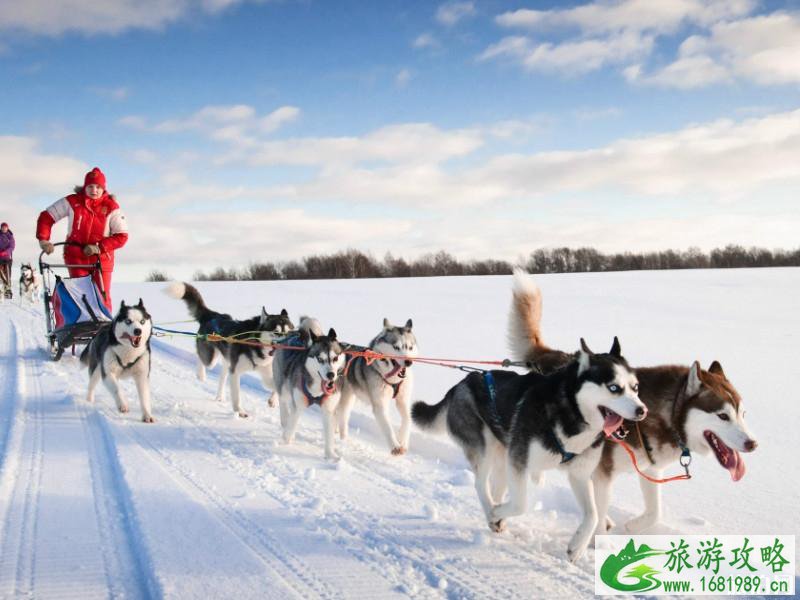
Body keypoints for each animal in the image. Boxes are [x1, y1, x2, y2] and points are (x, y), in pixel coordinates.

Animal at [166, 282, 294, 418]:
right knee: (201, 358)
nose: (289, 344)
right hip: (211, 359)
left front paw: (273, 400)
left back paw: (219, 396)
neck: (255, 345)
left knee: (222, 376)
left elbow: (277, 385)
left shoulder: (265, 371)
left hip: (227, 361)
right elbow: (236, 395)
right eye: (276, 332)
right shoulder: (235, 371)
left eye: (289, 332)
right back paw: (201, 374)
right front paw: (240, 411)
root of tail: (212, 315)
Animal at [274, 318, 346, 460]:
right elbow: (290, 428)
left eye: (335, 358)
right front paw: (284, 444)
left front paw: (330, 455)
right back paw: (284, 419)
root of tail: (296, 334)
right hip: (283, 386)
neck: (317, 390)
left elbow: (329, 436)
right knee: (283, 401)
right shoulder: (298, 405)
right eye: (320, 359)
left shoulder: (328, 410)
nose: (331, 375)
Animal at [334, 318, 418, 454]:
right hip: (345, 399)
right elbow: (387, 426)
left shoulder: (403, 400)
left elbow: (407, 419)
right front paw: (395, 446)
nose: (408, 362)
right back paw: (343, 440)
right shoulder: (380, 405)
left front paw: (403, 440)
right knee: (342, 416)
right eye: (396, 347)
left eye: (410, 347)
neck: (392, 379)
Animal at [412, 336, 644, 560]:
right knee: (480, 484)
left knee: (495, 487)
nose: (642, 410)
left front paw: (577, 546)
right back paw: (492, 513)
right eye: (614, 388)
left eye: (635, 387)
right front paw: (496, 513)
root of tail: (461, 384)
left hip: (502, 456)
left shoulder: (578, 474)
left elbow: (593, 514)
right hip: (484, 449)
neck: (571, 413)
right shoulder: (519, 462)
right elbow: (521, 504)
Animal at [510, 270, 760, 536]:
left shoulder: (650, 470)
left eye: (743, 414)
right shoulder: (602, 473)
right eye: (722, 416)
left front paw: (631, 526)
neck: (662, 417)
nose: (752, 443)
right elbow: (598, 514)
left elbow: (654, 513)